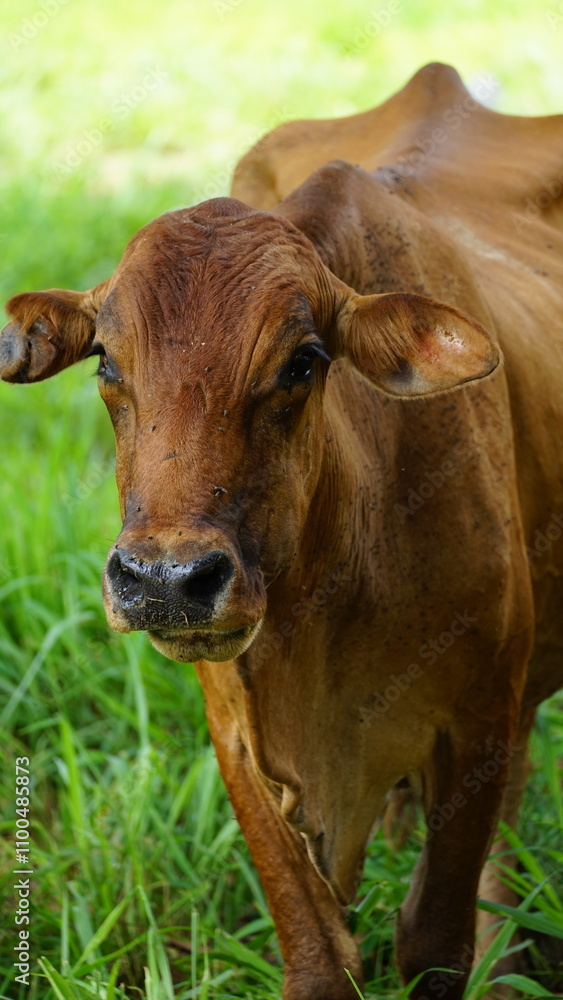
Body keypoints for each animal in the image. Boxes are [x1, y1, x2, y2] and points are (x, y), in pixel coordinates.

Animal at [1, 62, 562, 1000]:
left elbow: (433, 943)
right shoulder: (235, 737)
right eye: (107, 361)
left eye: (303, 361)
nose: (166, 582)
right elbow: (316, 957)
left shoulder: (478, 719)